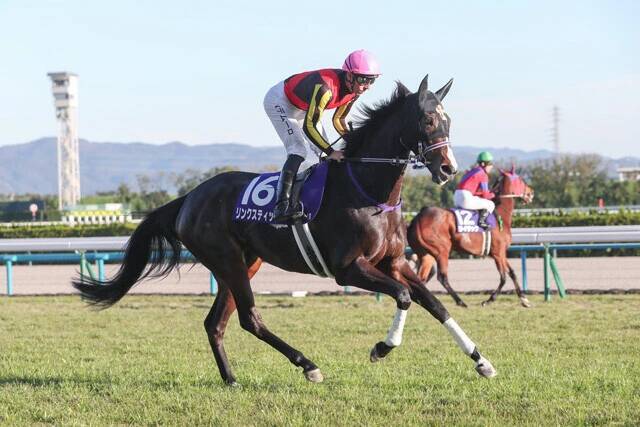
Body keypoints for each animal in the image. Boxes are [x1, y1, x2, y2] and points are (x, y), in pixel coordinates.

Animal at [73, 75, 498, 386]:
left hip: (244, 263)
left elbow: (434, 303)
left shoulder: (394, 262)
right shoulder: (348, 268)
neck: (367, 188)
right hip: (228, 261)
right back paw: (308, 365)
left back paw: (231, 379)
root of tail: (189, 197)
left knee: (216, 323)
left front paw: (482, 361)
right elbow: (404, 297)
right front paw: (382, 347)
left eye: (448, 120)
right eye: (428, 120)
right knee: (249, 318)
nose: (448, 168)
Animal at [407, 166, 534, 308]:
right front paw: (488, 300)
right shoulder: (497, 253)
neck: (501, 216)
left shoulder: (501, 253)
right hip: (442, 251)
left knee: (420, 279)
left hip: (426, 254)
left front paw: (524, 299)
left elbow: (512, 273)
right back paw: (460, 301)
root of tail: (418, 217)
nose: (531, 193)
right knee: (442, 277)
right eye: (521, 180)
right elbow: (503, 277)